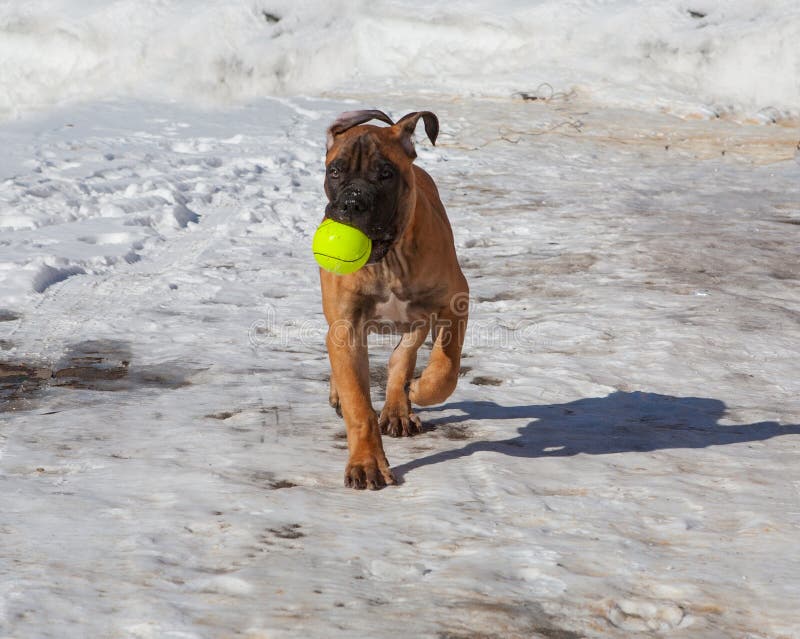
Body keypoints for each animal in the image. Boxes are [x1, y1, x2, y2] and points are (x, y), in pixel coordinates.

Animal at [318, 110, 468, 490]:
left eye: (385, 174)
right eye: (334, 171)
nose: (351, 203)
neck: (388, 261)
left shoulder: (455, 303)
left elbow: (444, 368)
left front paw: (417, 391)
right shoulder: (345, 327)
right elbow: (358, 404)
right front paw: (367, 463)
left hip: (418, 319)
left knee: (404, 356)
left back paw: (400, 407)